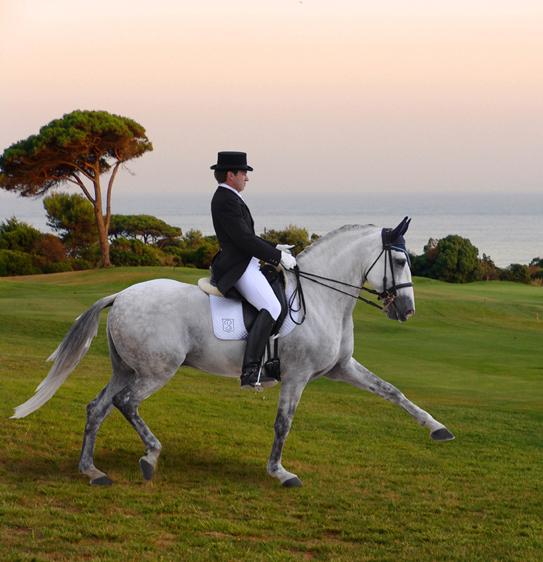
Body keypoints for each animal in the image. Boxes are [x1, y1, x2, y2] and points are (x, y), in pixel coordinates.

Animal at [12, 221, 454, 484]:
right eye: (399, 260)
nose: (406, 311)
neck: (320, 296)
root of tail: (120, 295)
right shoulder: (297, 376)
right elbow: (283, 423)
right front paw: (279, 472)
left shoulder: (341, 368)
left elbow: (393, 391)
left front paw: (437, 428)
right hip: (156, 370)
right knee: (125, 403)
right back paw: (150, 457)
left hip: (127, 368)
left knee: (98, 407)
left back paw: (92, 470)